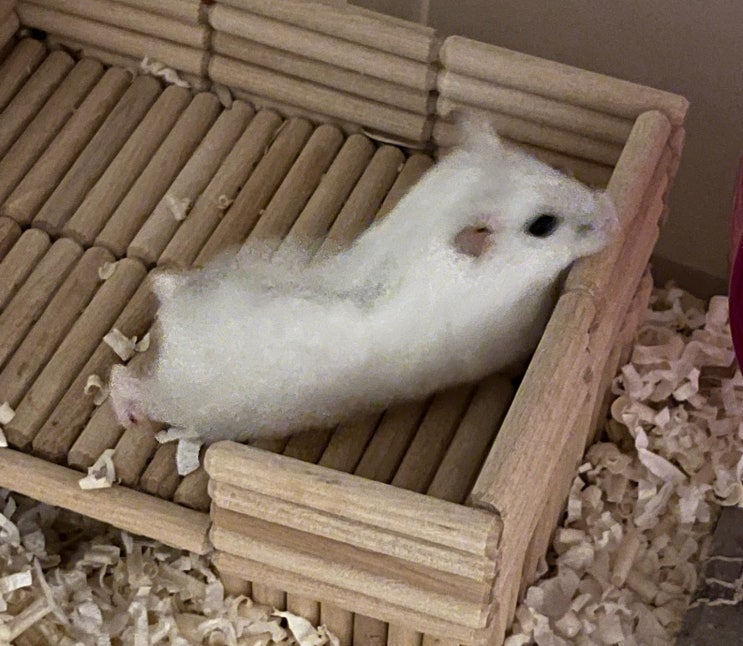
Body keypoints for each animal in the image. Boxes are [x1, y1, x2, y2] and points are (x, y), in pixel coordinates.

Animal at [109, 117, 618, 444]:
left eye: (554, 167)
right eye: (542, 226)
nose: (613, 212)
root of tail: (174, 309)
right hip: (182, 400)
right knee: (124, 381)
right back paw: (129, 417)